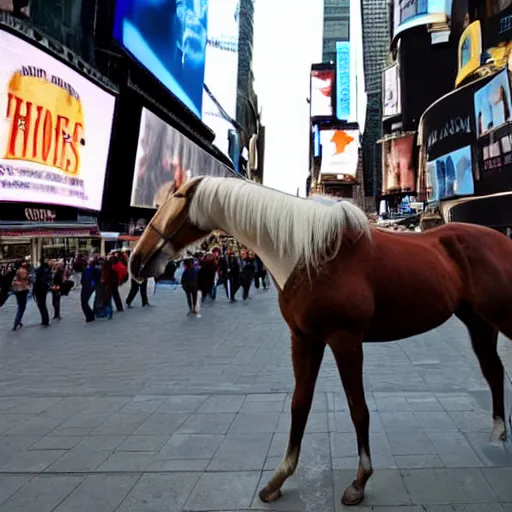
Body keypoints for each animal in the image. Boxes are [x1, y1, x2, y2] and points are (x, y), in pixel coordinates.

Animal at [130, 178, 510, 506]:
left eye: (176, 200)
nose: (137, 260)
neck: (307, 251)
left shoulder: (345, 339)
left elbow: (358, 408)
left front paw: (359, 481)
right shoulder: (304, 339)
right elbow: (300, 404)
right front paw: (278, 479)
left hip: (499, 315)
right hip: (478, 320)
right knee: (493, 371)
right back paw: (498, 433)